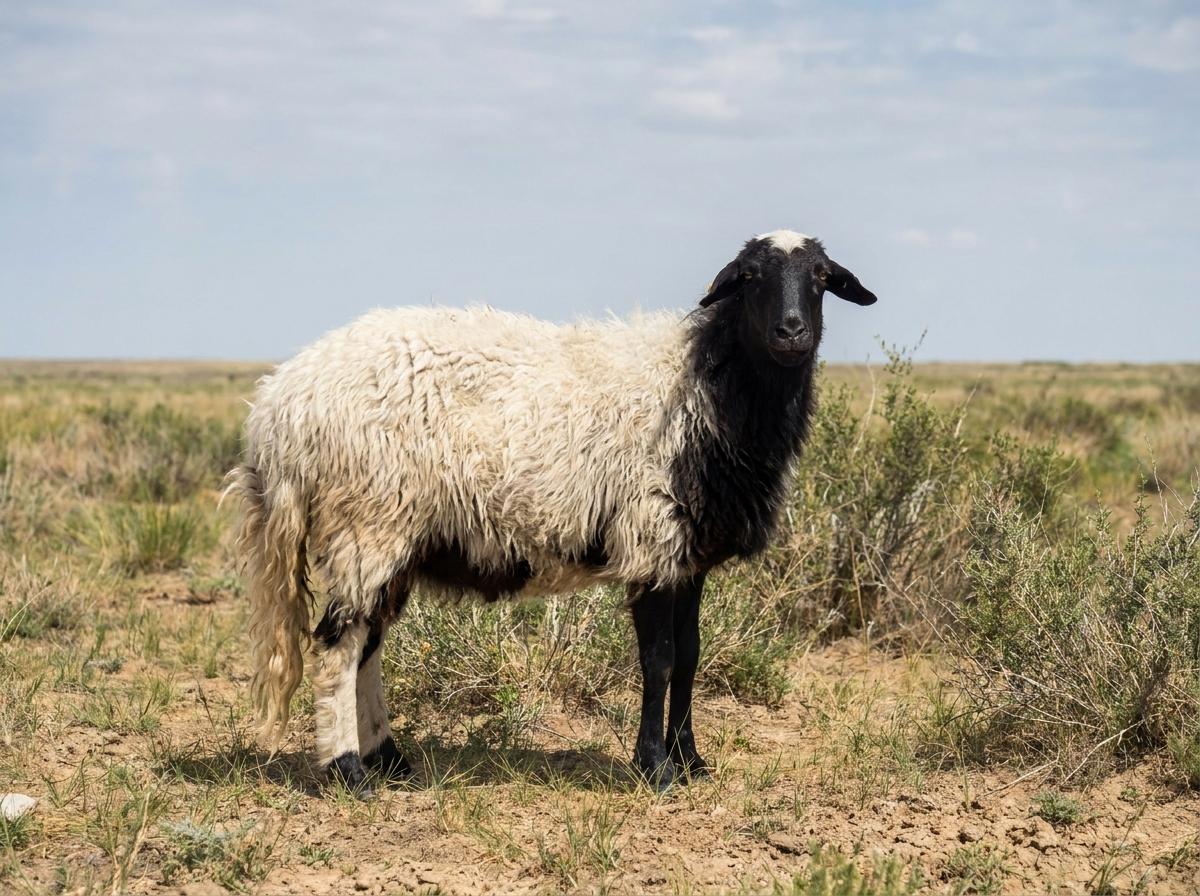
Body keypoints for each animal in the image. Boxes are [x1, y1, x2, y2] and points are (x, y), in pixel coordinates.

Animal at [226, 229, 877, 794]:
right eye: (749, 278)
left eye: (822, 278)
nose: (791, 332)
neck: (707, 385)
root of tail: (278, 407)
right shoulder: (649, 539)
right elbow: (660, 661)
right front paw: (655, 768)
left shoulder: (686, 554)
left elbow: (691, 657)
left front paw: (692, 762)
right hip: (365, 522)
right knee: (338, 646)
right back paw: (349, 772)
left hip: (391, 536)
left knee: (367, 645)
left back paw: (390, 760)